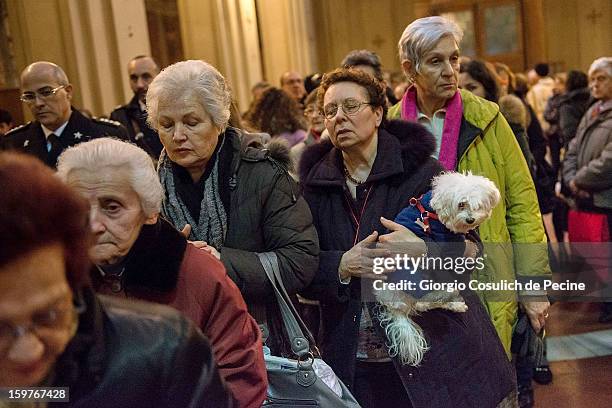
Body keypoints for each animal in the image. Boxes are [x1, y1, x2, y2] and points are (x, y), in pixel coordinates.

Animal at [376, 172, 500, 366]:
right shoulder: (445, 239)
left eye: (477, 205)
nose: (470, 220)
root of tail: (397, 308)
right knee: (427, 300)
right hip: (421, 280)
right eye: (461, 204)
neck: (431, 211)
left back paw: (456, 304)